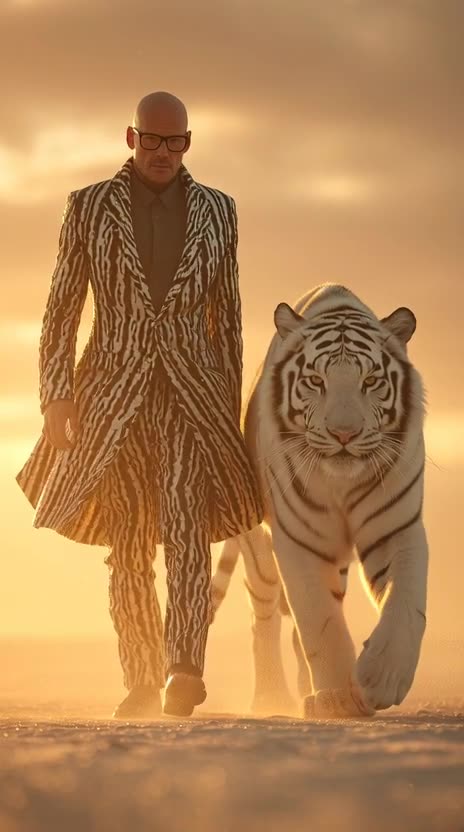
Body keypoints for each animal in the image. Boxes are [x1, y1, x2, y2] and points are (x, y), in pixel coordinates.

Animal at [212, 283, 428, 719]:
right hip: (259, 550)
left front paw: (381, 678)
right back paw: (271, 697)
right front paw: (338, 697)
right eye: (315, 380)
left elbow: (405, 603)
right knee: (264, 613)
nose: (344, 433)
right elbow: (318, 620)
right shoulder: (299, 541)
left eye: (371, 380)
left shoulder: (397, 529)